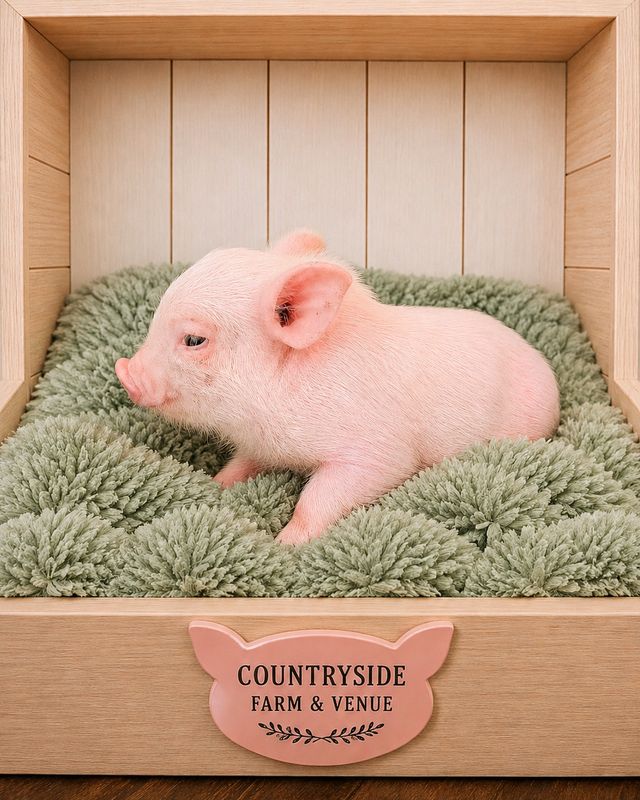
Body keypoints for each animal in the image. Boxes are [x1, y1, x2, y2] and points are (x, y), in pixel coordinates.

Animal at [115, 230, 560, 545]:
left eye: (194, 340)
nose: (125, 372)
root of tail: (544, 367)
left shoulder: (378, 453)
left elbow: (321, 496)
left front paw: (285, 544)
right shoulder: (259, 446)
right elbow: (239, 467)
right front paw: (215, 484)